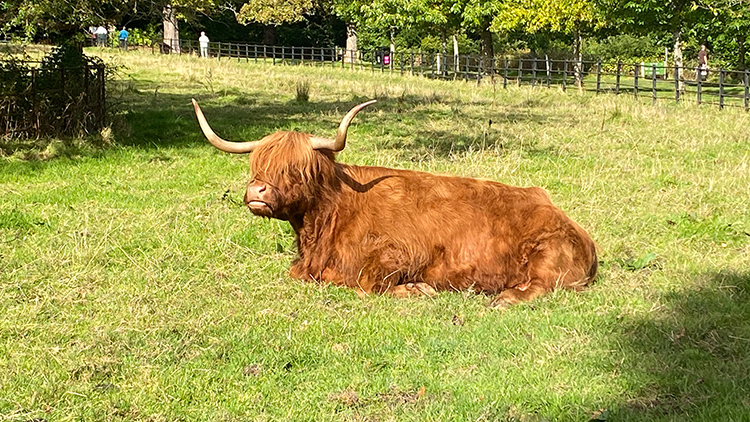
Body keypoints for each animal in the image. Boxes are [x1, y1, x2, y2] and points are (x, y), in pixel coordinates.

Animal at [192, 99, 597, 307]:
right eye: (257, 165)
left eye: (298, 169)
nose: (257, 191)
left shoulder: (398, 252)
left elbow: (366, 283)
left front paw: (417, 289)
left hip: (546, 255)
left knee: (540, 286)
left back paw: (504, 298)